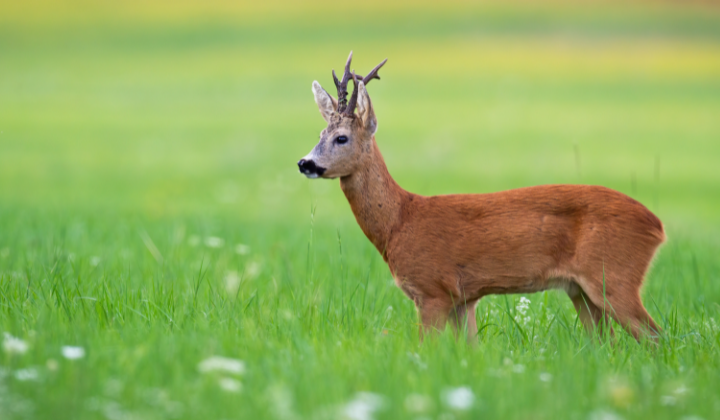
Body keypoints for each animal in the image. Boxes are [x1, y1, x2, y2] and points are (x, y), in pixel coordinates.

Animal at [296, 51, 664, 342]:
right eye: (320, 133)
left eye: (342, 138)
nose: (305, 163)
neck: (399, 221)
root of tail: (657, 227)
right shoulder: (464, 298)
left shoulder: (432, 288)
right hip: (581, 290)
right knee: (608, 342)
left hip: (614, 276)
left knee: (655, 336)